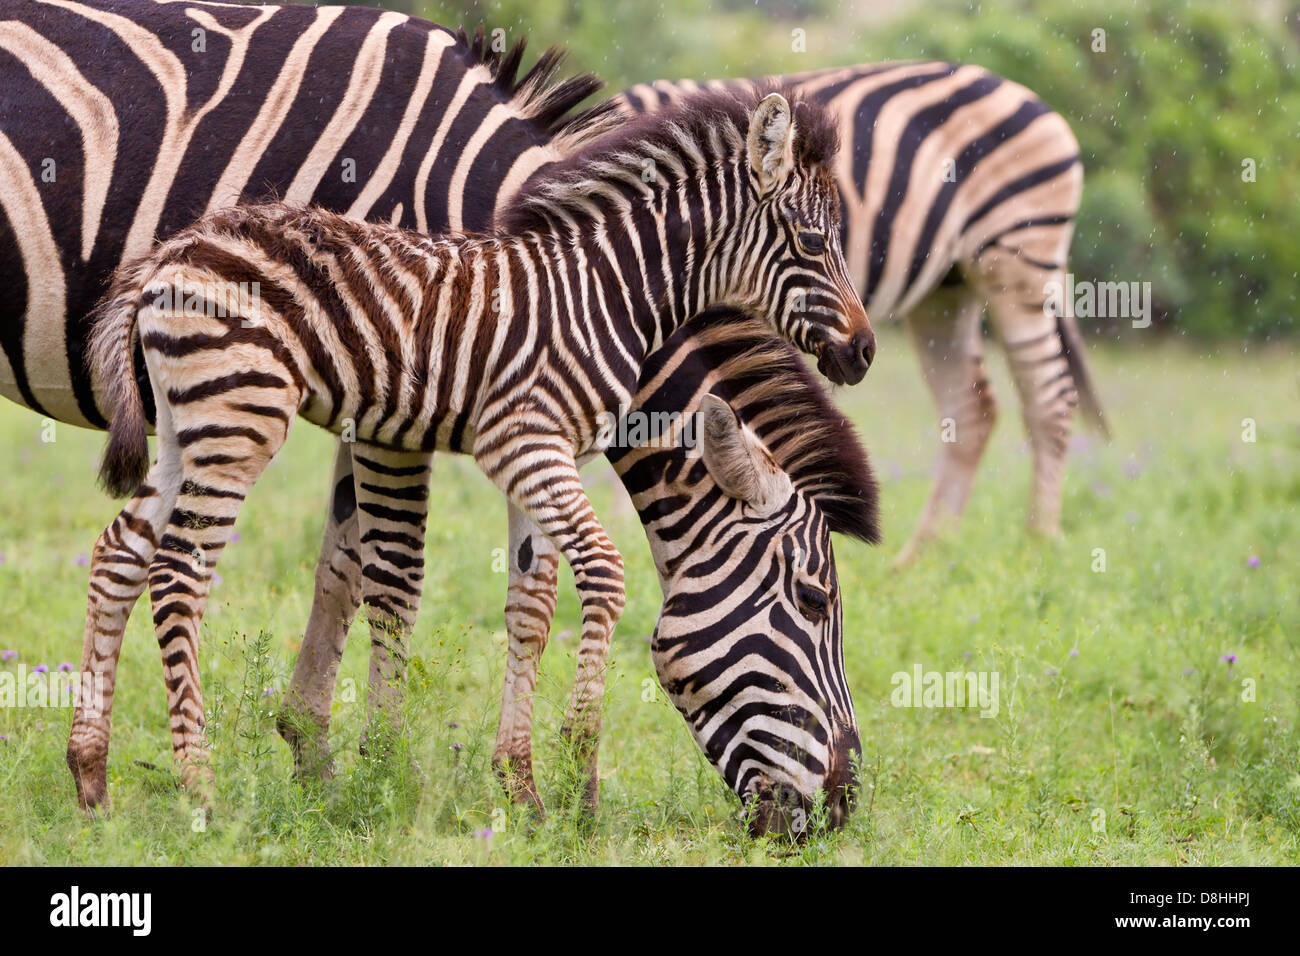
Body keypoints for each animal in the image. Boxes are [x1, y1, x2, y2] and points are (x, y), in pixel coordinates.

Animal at [618, 63, 1107, 564]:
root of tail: (1030, 96)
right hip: (945, 291)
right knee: (973, 410)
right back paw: (920, 556)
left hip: (1017, 261)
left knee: (1049, 397)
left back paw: (1039, 540)